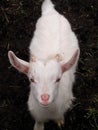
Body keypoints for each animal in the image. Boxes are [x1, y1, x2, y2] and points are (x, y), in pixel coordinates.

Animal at [7, 0, 79, 130]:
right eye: (31, 79)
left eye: (58, 79)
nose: (45, 98)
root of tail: (50, 11)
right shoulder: (36, 113)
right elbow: (39, 122)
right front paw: (38, 126)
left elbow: (59, 117)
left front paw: (60, 122)